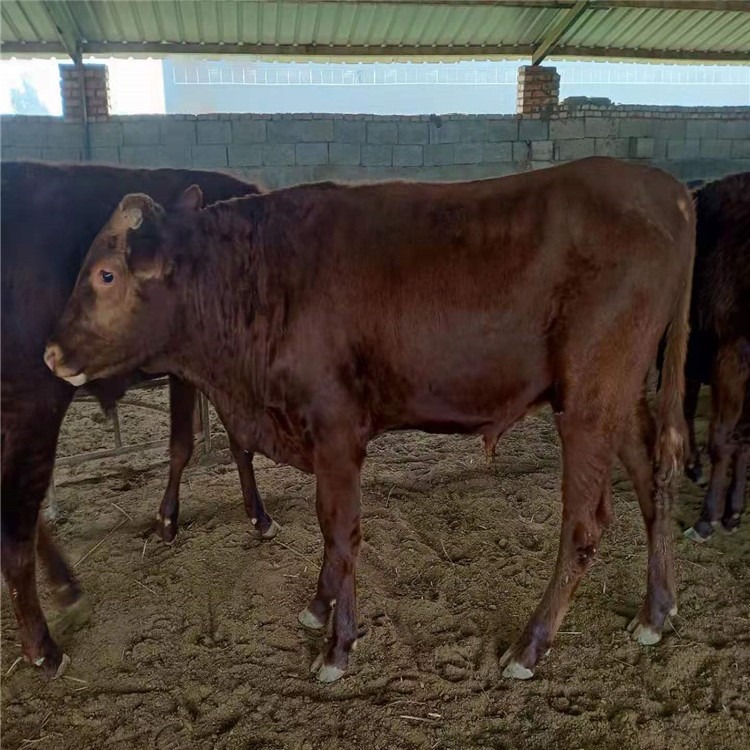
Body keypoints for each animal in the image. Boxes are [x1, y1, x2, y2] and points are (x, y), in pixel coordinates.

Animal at [1, 162, 278, 680]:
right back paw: (43, 647)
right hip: (32, 408)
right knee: (15, 526)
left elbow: (190, 443)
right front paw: (256, 516)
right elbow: (222, 443)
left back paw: (68, 589)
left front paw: (169, 520)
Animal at [44, 156, 696, 684]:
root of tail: (666, 188)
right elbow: (332, 535)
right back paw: (656, 610)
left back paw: (530, 647)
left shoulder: (336, 431)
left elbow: (341, 530)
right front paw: (319, 607)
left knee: (585, 524)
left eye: (106, 275)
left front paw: (338, 645)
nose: (51, 353)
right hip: (620, 398)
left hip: (587, 399)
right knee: (653, 484)